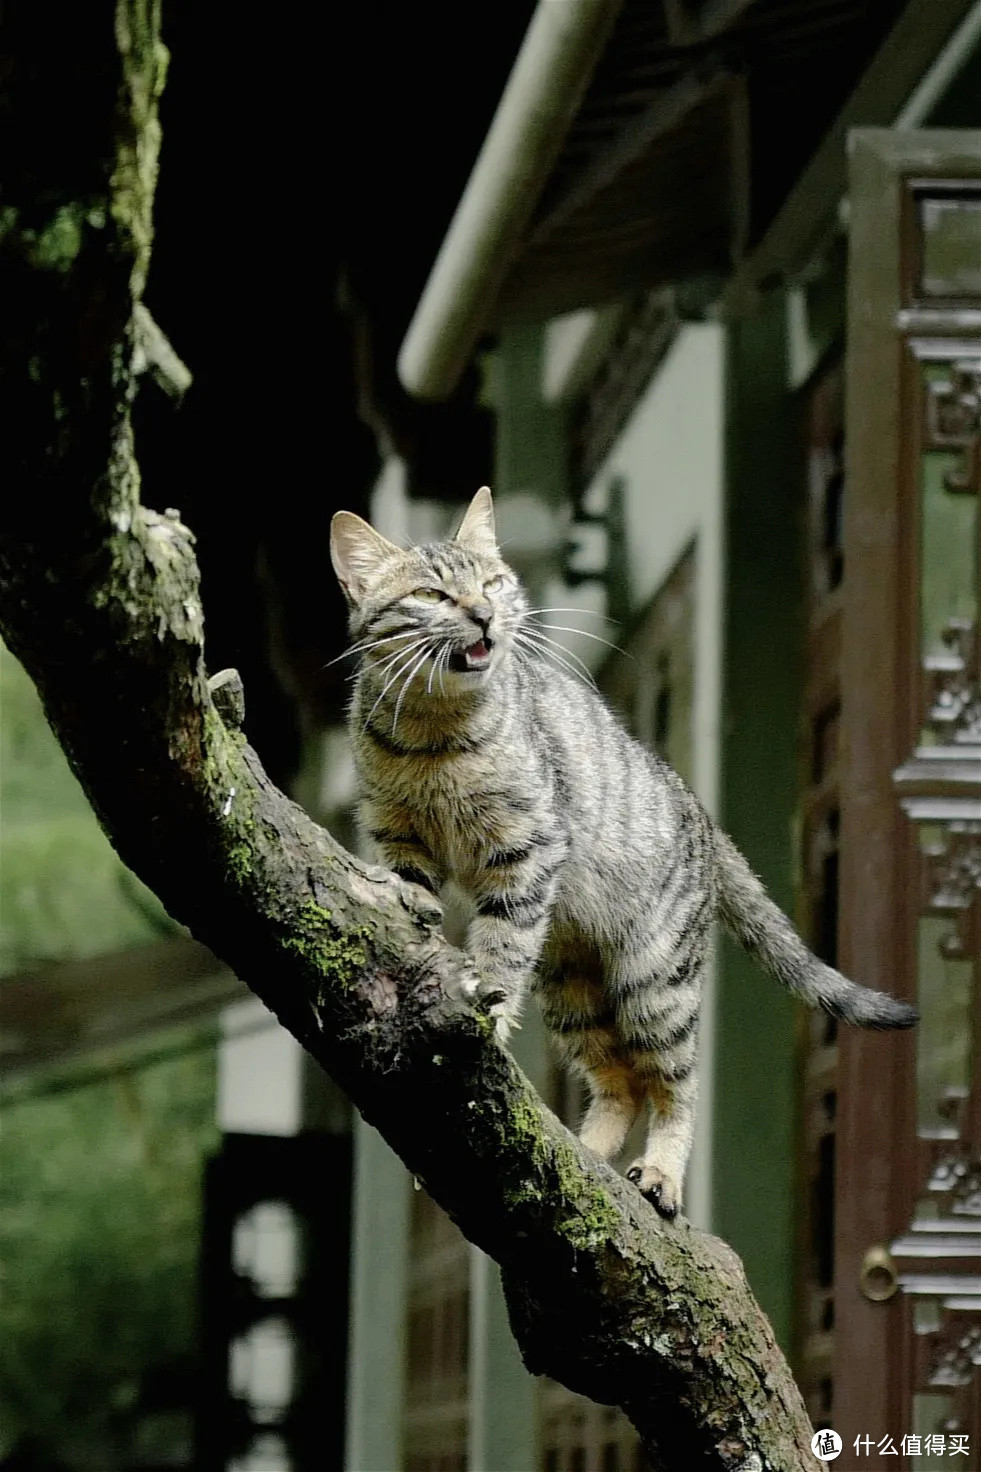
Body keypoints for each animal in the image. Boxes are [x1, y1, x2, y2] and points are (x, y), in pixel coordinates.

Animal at [328, 488, 907, 1212]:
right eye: (432, 594)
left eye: (492, 583)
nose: (484, 614)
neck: (434, 734)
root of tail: (706, 821)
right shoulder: (401, 843)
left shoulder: (526, 850)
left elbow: (498, 958)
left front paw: (487, 1017)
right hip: (572, 986)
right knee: (618, 1084)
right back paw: (589, 1153)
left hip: (655, 983)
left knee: (676, 1086)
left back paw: (660, 1173)